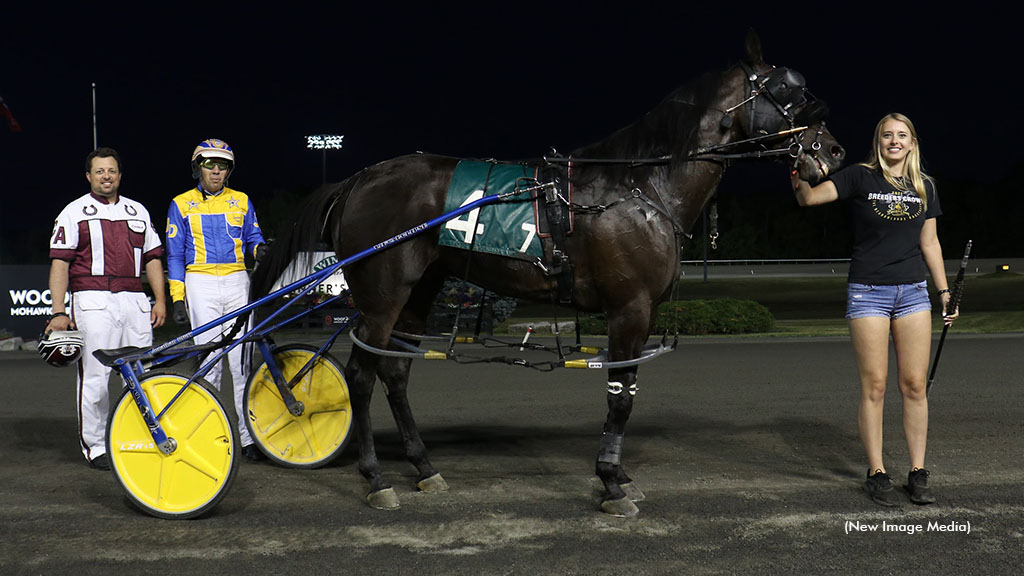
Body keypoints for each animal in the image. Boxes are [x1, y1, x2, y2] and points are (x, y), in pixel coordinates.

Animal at [256, 32, 847, 516]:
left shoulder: (639, 310)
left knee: (395, 372)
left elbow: (628, 389)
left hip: (420, 289)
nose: (833, 150)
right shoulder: (629, 307)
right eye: (787, 89)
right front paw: (610, 484)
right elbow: (620, 394)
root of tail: (357, 179)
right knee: (361, 375)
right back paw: (377, 479)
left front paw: (619, 476)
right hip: (382, 293)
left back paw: (425, 468)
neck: (639, 188)